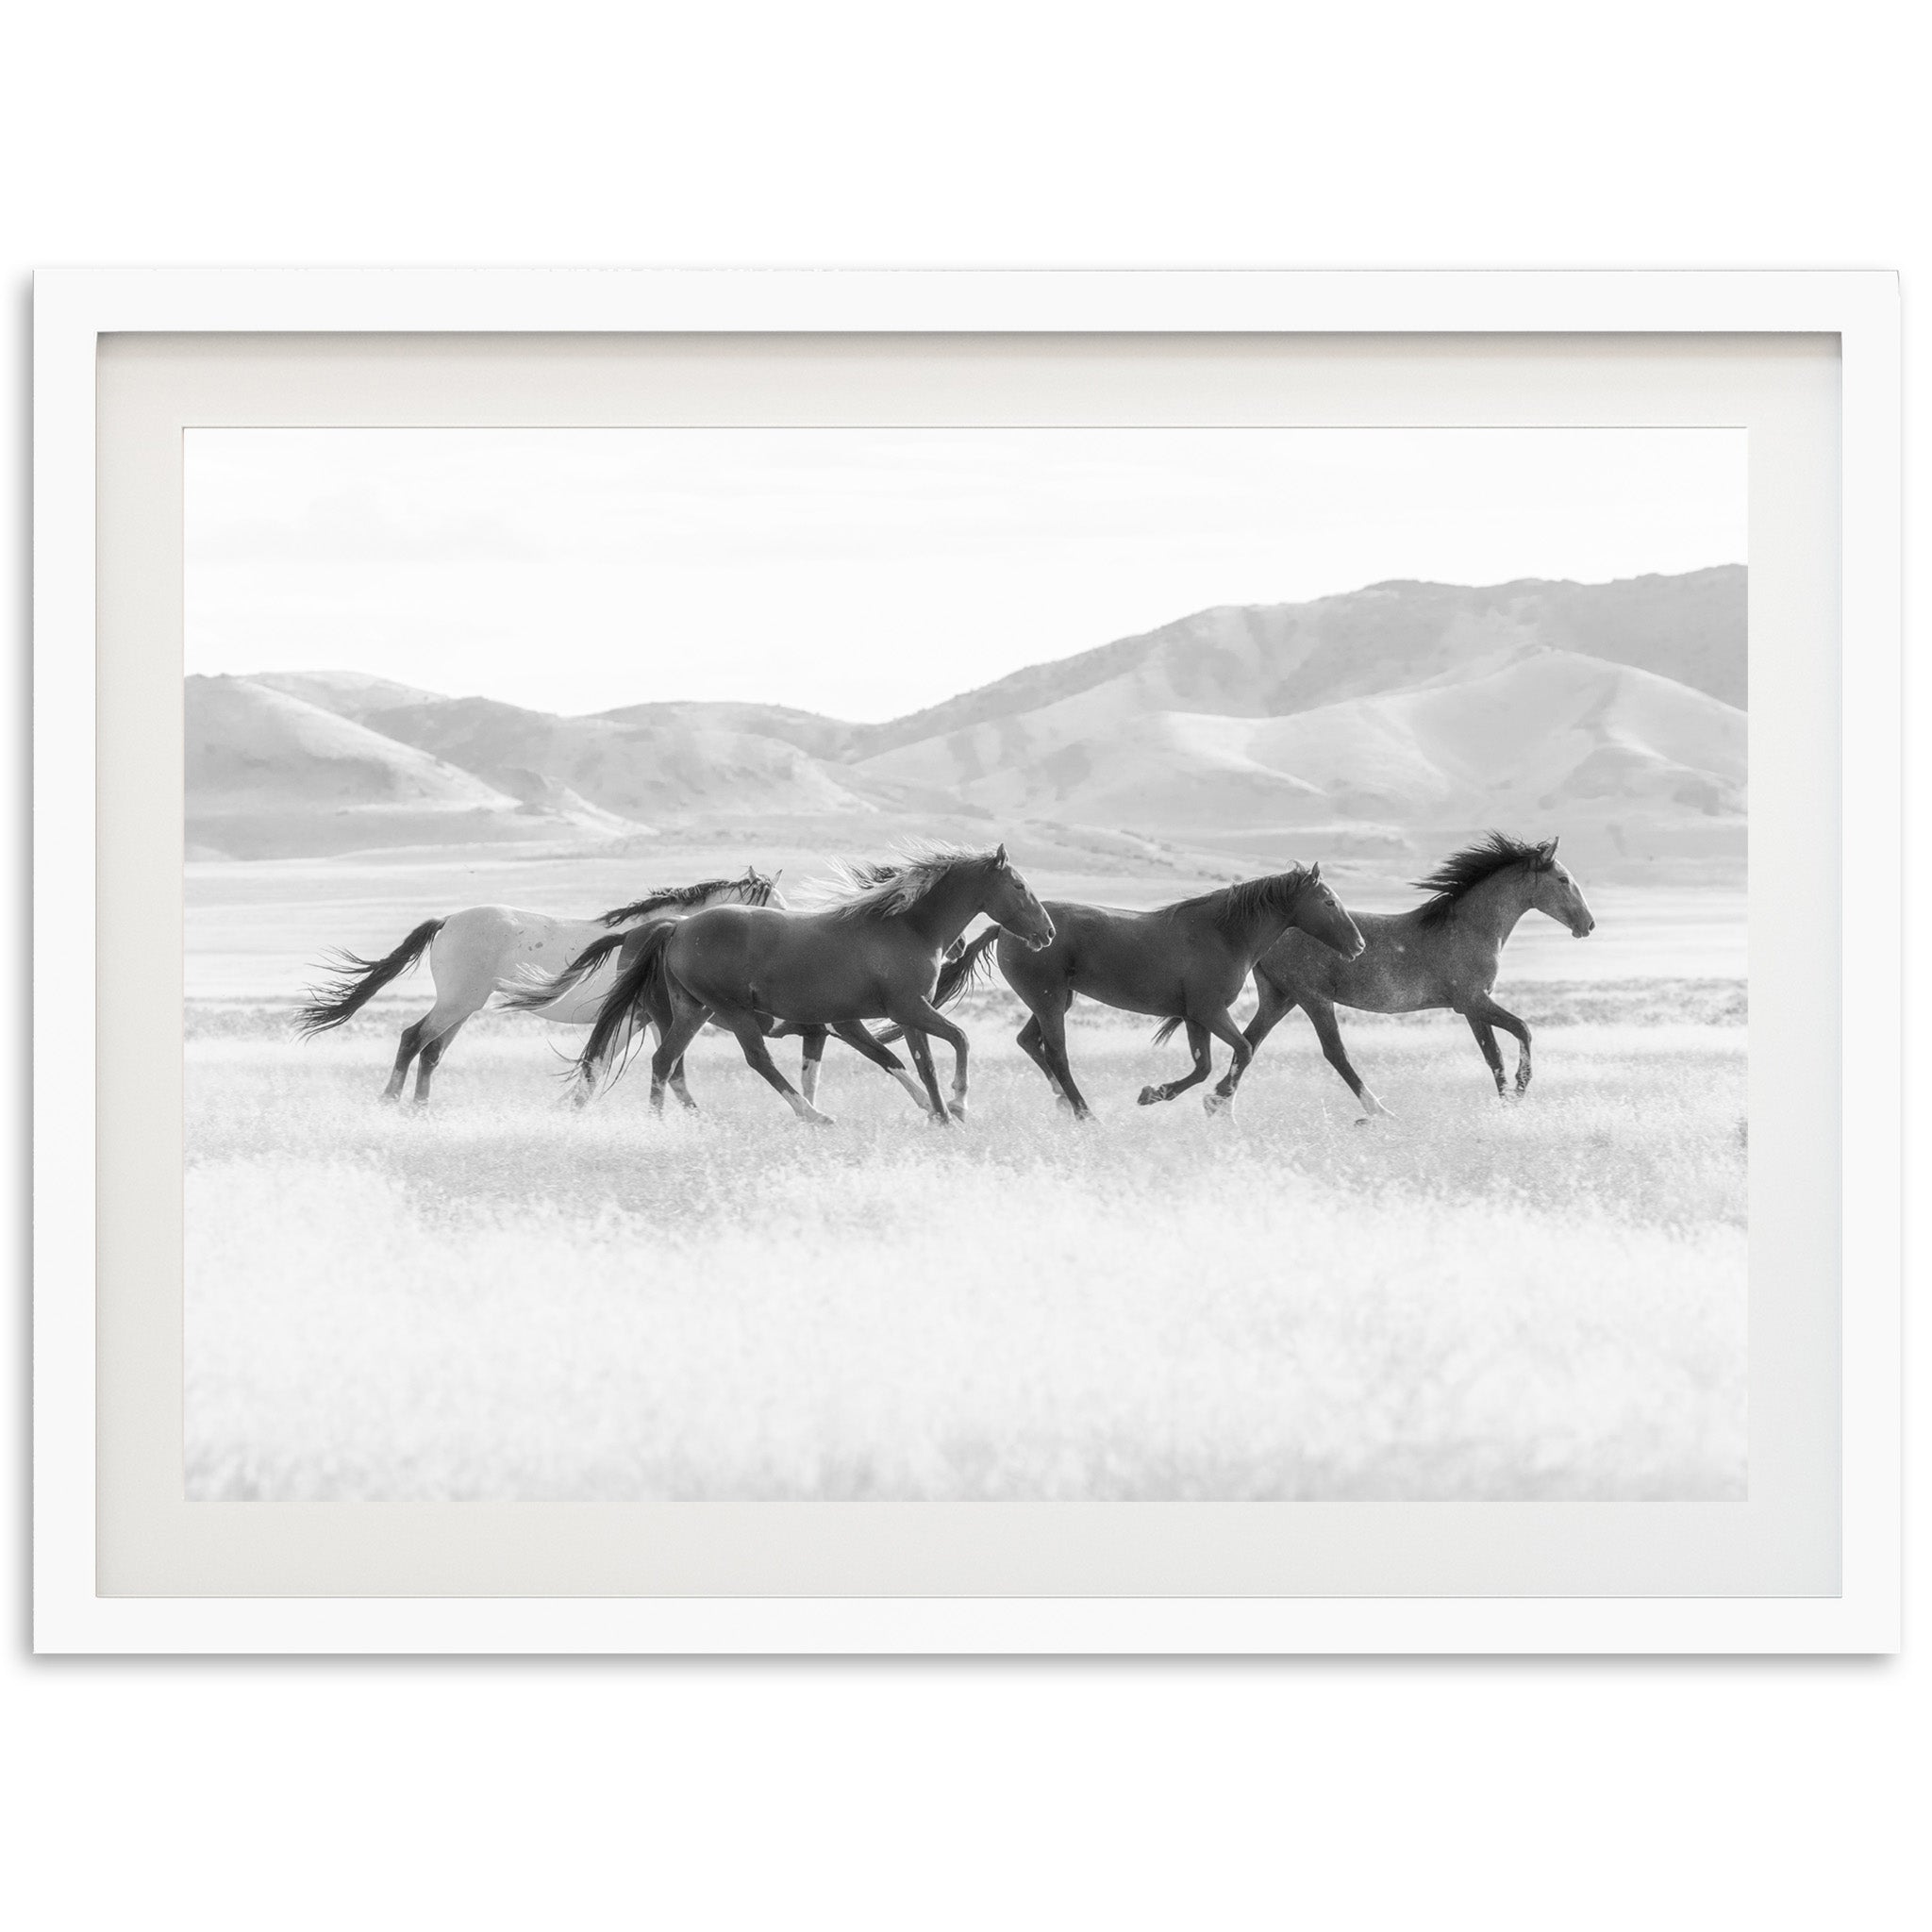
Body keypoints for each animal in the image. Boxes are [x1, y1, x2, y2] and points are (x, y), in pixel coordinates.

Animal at [297, 865, 780, 1105]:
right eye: (772, 903)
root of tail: (448, 920)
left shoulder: (647, 1019)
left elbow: (648, 1067)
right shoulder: (633, 1018)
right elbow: (603, 1065)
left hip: (464, 1007)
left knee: (430, 1051)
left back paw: (420, 1113)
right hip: (457, 1003)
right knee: (412, 1038)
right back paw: (390, 1103)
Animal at [564, 841, 1066, 1128]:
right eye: (1019, 886)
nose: (1047, 933)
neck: (907, 927)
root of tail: (676, 928)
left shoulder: (877, 1019)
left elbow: (913, 1064)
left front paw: (939, 1115)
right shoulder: (907, 1010)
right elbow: (957, 1041)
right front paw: (957, 1107)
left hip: (692, 1010)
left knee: (665, 1061)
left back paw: (658, 1124)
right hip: (731, 1011)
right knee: (757, 1060)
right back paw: (813, 1115)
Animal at [911, 861, 1367, 1120]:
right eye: (1328, 902)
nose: (1359, 945)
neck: (1224, 934)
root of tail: (1007, 929)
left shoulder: (1194, 1016)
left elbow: (1204, 1066)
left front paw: (1155, 1094)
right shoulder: (1210, 1011)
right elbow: (1243, 1050)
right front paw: (1205, 1100)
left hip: (1054, 1001)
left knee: (1029, 1042)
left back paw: (1063, 1103)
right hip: (1050, 1001)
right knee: (1056, 1054)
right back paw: (1085, 1114)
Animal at [1221, 830, 1599, 1120]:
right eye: (1563, 880)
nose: (1589, 924)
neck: (1472, 928)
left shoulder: (1473, 1008)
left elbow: (1493, 1056)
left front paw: (1505, 1103)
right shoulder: (1472, 1001)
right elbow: (1523, 1030)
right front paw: (1519, 1092)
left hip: (1280, 998)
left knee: (1248, 1044)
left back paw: (1220, 1107)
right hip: (1313, 998)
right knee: (1335, 1053)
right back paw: (1379, 1113)